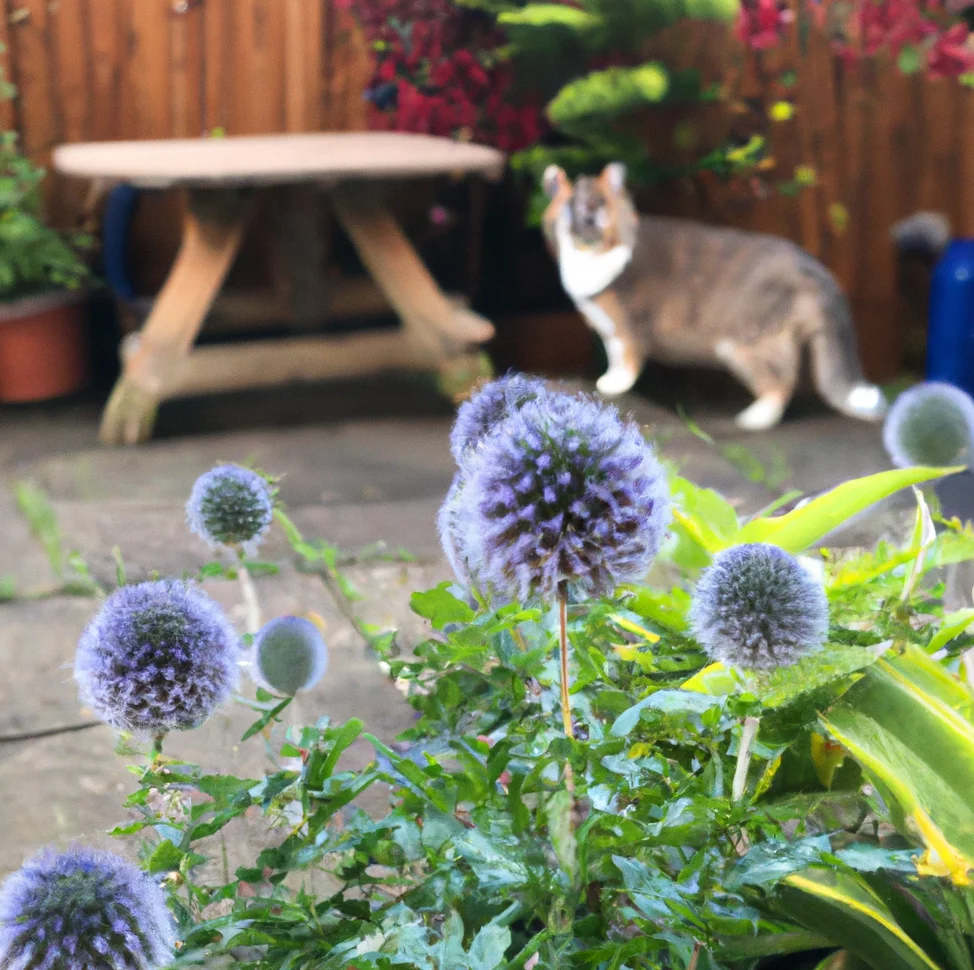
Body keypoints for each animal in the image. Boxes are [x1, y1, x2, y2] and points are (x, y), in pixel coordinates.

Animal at [540, 162, 892, 428]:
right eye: (571, 207)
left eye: (598, 204)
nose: (588, 218)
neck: (589, 255)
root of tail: (817, 268)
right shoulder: (610, 329)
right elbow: (614, 356)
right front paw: (609, 379)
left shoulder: (628, 324)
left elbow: (626, 357)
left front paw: (616, 384)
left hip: (750, 342)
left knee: (781, 380)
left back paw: (755, 418)